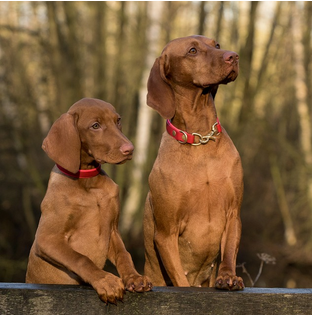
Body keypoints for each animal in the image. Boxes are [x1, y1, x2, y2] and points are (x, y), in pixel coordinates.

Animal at [25, 98, 151, 304]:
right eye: (95, 126)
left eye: (118, 121)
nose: (129, 149)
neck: (89, 184)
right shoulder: (46, 239)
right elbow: (81, 259)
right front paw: (106, 281)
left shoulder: (113, 231)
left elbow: (124, 254)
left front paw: (134, 277)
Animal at [143, 35, 244, 292]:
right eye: (192, 51)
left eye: (216, 45)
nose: (233, 56)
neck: (201, 140)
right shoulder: (166, 232)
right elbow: (180, 279)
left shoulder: (233, 213)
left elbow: (229, 251)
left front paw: (228, 277)